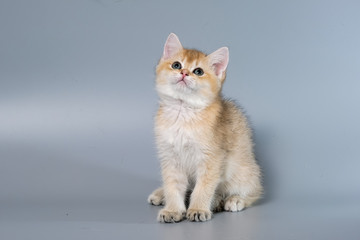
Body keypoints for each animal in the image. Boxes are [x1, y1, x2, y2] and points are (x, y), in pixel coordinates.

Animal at [148, 32, 262, 222]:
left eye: (198, 71)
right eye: (176, 65)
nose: (184, 73)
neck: (183, 113)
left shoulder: (211, 159)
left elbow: (203, 187)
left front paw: (198, 209)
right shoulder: (170, 158)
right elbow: (172, 186)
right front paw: (173, 210)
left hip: (243, 170)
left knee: (254, 191)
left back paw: (233, 200)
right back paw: (160, 194)